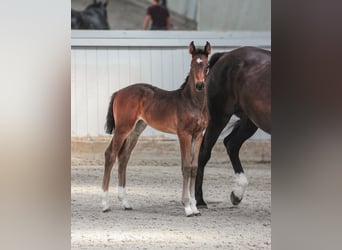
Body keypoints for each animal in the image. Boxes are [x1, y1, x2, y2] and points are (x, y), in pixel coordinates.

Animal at [101, 41, 211, 217]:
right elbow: (186, 167)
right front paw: (187, 207)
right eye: (193, 64)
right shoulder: (184, 134)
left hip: (136, 129)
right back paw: (105, 204)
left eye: (207, 65)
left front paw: (195, 207)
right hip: (123, 128)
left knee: (123, 157)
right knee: (110, 154)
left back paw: (125, 203)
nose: (200, 85)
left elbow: (194, 167)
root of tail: (119, 92)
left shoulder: (198, 135)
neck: (193, 103)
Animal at [195, 46, 270, 208]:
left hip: (250, 121)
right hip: (219, 117)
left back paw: (237, 194)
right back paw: (199, 200)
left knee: (232, 144)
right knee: (204, 153)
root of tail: (225, 55)